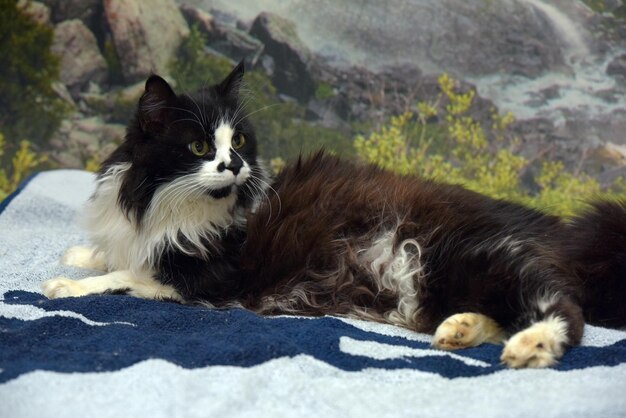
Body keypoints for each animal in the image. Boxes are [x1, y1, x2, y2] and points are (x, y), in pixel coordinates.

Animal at [44, 62, 624, 370]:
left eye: (240, 143)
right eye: (199, 146)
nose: (235, 166)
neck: (160, 202)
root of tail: (562, 231)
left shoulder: (209, 275)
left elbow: (127, 275)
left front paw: (64, 285)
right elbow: (111, 255)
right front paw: (79, 255)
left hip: (477, 252)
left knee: (564, 309)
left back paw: (530, 346)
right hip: (453, 274)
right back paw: (458, 331)